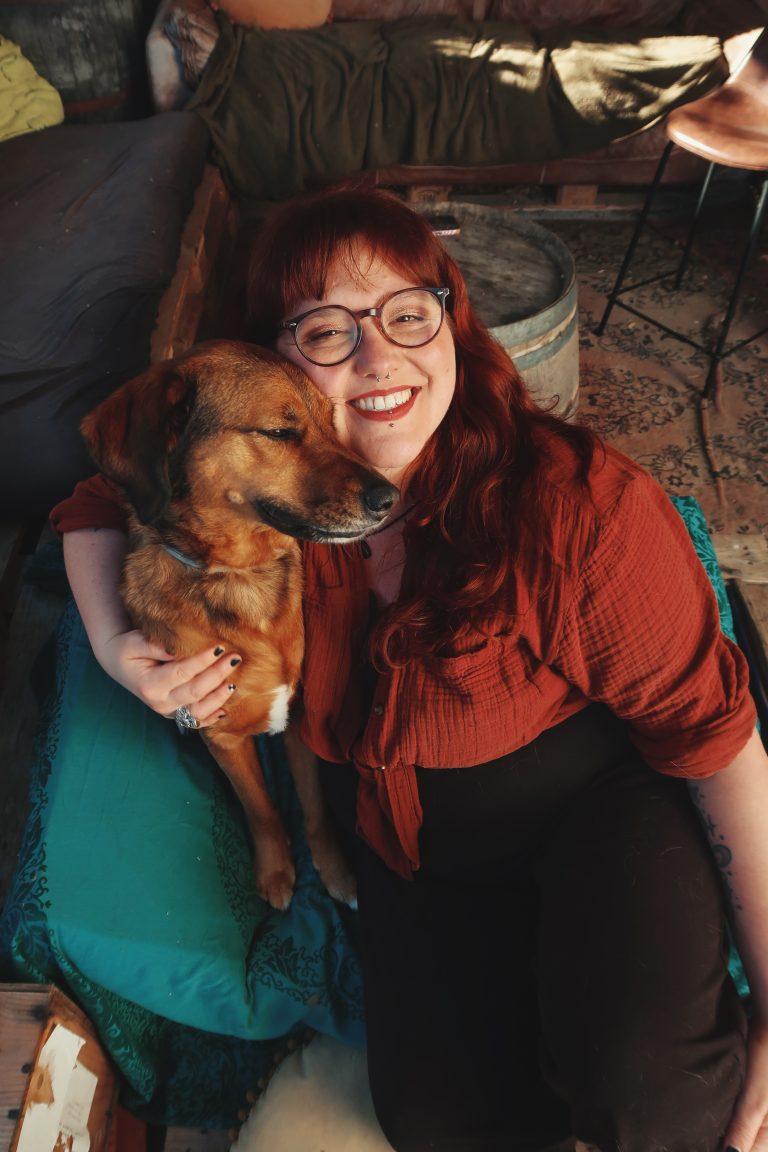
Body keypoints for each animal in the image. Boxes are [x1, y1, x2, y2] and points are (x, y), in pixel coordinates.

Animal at [81, 340, 398, 910]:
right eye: (278, 432)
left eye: (331, 422)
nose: (390, 499)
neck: (240, 575)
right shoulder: (224, 735)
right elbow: (262, 809)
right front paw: (275, 872)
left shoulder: (299, 716)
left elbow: (314, 810)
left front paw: (334, 869)